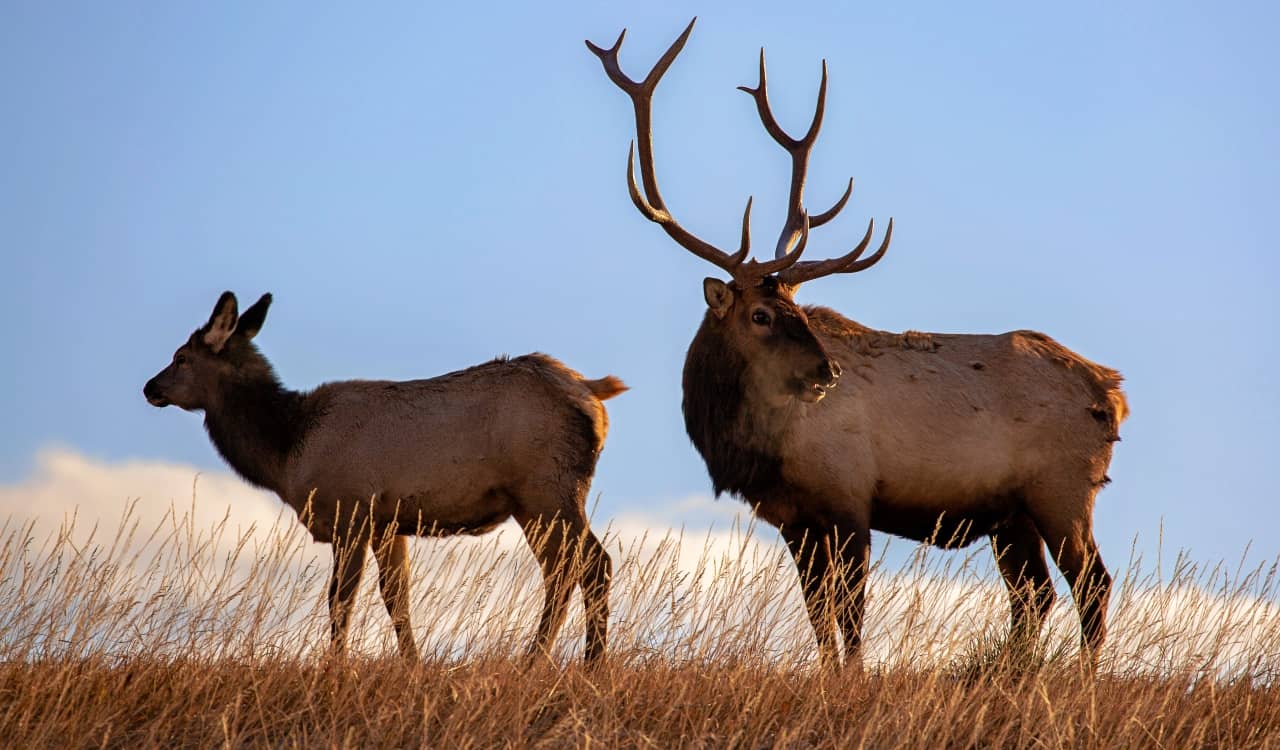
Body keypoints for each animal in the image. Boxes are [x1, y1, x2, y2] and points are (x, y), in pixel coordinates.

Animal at [145, 291, 624, 660]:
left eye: (181, 357)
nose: (150, 387)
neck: (287, 450)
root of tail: (593, 393)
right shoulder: (387, 524)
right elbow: (397, 598)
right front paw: (413, 666)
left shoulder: (350, 512)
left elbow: (340, 600)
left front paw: (337, 668)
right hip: (533, 503)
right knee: (563, 570)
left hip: (549, 490)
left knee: (591, 564)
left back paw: (578, 663)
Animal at [586, 20, 1126, 665]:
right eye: (762, 315)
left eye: (798, 313)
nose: (827, 373)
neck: (752, 447)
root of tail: (1112, 395)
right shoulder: (795, 519)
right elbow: (819, 612)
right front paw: (830, 673)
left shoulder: (849, 498)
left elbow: (850, 611)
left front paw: (856, 674)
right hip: (1013, 514)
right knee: (1035, 594)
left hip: (1062, 489)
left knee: (1092, 584)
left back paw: (1081, 676)